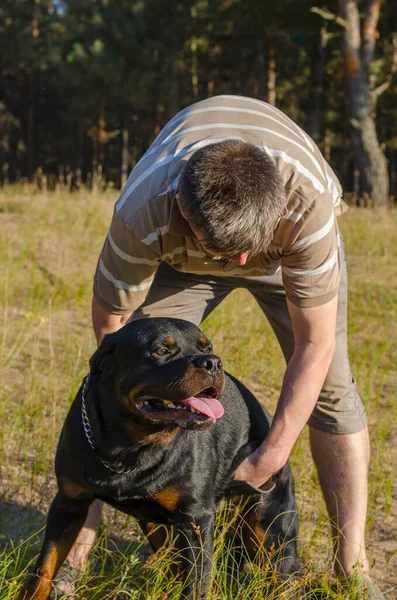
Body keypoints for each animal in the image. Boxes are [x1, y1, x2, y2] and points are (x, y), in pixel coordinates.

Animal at [20, 316, 300, 596]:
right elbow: (44, 568)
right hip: (158, 524)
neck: (131, 448)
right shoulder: (70, 502)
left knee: (289, 577)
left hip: (270, 531)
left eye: (207, 347)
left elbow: (196, 586)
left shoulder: (197, 520)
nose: (213, 362)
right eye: (162, 351)